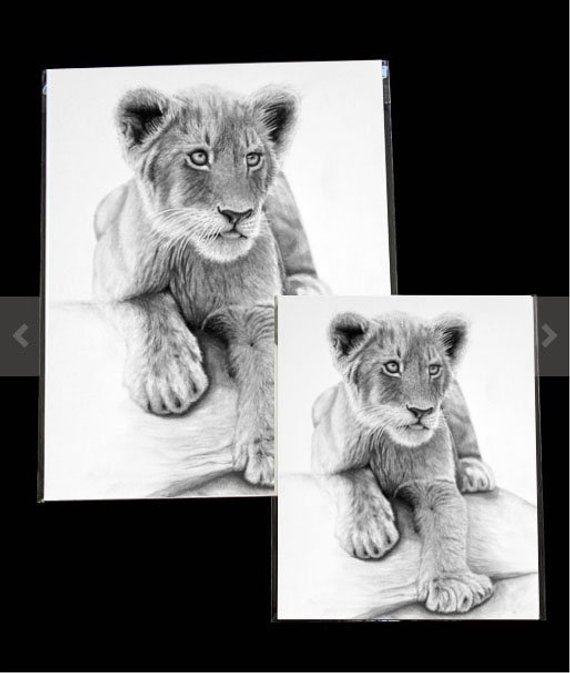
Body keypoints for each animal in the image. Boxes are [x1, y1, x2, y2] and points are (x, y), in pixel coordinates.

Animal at [93, 85, 326, 486]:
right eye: (199, 157)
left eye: (252, 158)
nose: (238, 214)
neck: (196, 258)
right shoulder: (112, 273)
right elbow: (147, 303)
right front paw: (168, 378)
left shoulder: (256, 315)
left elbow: (268, 373)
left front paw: (267, 452)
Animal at [311, 311, 496, 614]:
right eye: (392, 366)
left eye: (433, 369)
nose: (423, 410)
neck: (389, 440)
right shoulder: (327, 456)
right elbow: (354, 479)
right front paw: (369, 532)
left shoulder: (435, 485)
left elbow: (447, 529)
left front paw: (452, 585)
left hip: (456, 402)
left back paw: (473, 471)